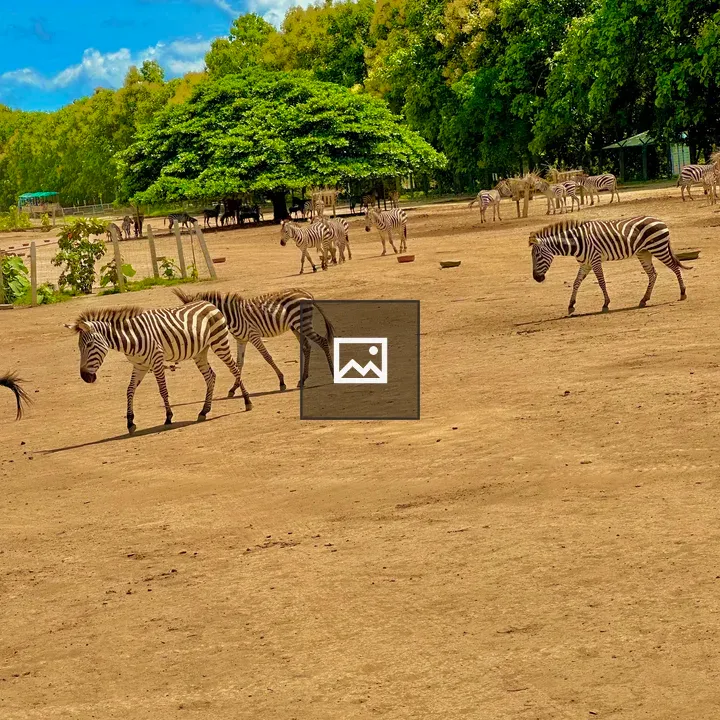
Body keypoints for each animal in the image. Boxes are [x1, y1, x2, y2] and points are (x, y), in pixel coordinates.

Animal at [65, 302, 253, 434]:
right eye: (79, 347)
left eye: (89, 345)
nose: (85, 377)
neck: (130, 339)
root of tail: (210, 304)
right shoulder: (139, 365)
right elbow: (130, 390)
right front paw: (130, 422)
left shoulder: (156, 360)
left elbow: (163, 390)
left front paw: (168, 417)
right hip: (200, 352)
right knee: (210, 376)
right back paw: (204, 411)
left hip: (219, 343)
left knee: (235, 369)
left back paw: (247, 401)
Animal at [173, 288, 335, 392]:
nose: (189, 333)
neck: (231, 316)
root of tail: (305, 292)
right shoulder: (241, 340)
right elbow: (239, 363)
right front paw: (234, 388)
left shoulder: (253, 335)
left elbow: (267, 357)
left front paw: (281, 381)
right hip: (296, 326)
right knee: (307, 347)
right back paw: (302, 380)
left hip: (302, 324)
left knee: (322, 341)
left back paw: (333, 373)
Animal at [529, 216, 689, 314]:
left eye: (537, 256)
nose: (536, 278)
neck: (576, 242)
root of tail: (660, 220)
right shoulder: (585, 264)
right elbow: (576, 282)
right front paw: (571, 305)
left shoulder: (595, 260)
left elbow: (601, 282)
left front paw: (606, 303)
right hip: (644, 252)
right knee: (652, 274)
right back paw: (644, 299)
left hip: (658, 248)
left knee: (675, 268)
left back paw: (682, 293)